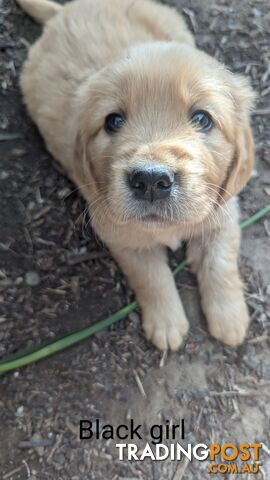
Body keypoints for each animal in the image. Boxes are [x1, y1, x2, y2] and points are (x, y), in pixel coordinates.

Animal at [16, 0, 253, 348]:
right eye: (113, 121)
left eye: (202, 118)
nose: (151, 180)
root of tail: (65, 12)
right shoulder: (119, 234)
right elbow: (151, 277)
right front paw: (167, 323)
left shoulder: (223, 209)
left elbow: (220, 262)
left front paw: (230, 319)